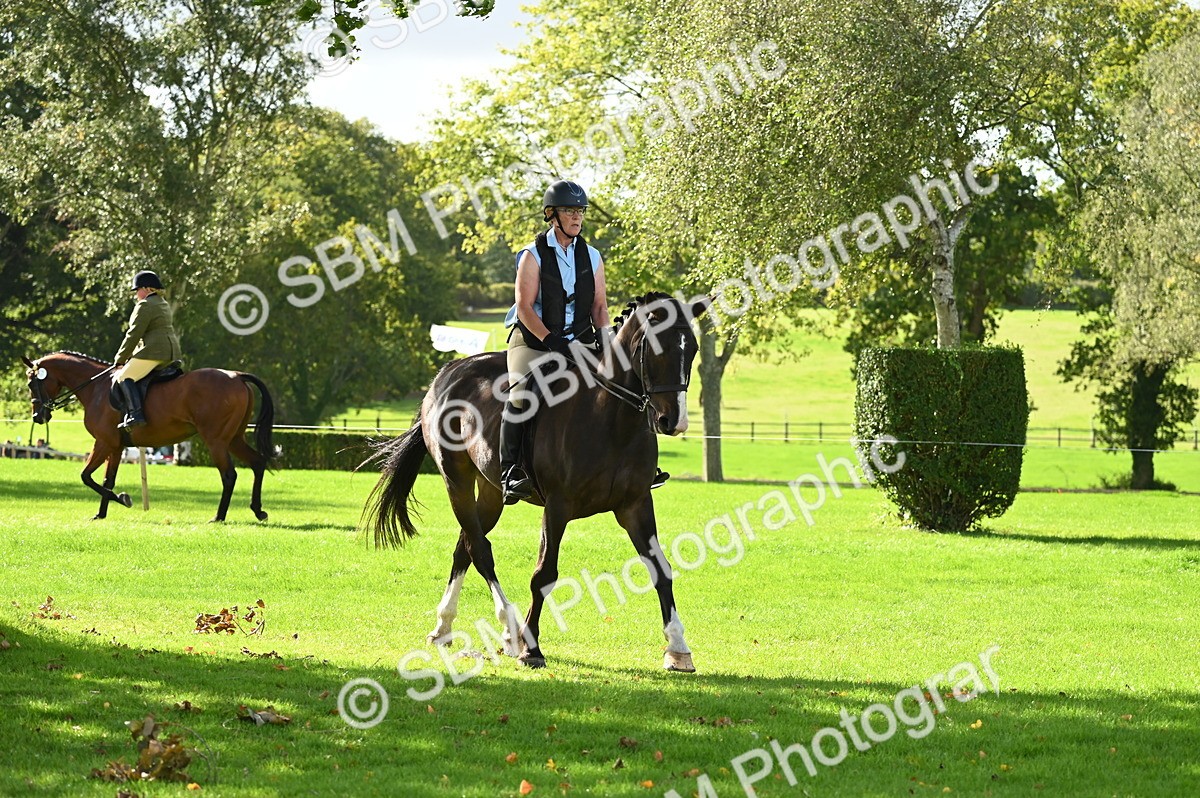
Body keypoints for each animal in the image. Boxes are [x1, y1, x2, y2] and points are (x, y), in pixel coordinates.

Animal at [22, 351, 275, 522]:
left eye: (32, 383)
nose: (38, 416)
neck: (96, 388)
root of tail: (236, 376)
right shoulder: (116, 446)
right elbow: (106, 480)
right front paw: (101, 514)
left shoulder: (103, 442)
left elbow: (86, 476)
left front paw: (123, 499)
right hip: (233, 439)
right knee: (257, 463)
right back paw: (258, 510)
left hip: (216, 441)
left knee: (229, 475)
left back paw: (219, 517)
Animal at [362, 292, 710, 671]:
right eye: (658, 349)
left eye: (691, 349)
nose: (673, 421)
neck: (612, 420)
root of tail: (448, 373)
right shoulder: (558, 506)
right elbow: (544, 575)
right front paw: (531, 648)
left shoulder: (636, 505)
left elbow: (661, 569)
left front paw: (678, 649)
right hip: (456, 479)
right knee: (480, 549)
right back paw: (510, 630)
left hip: (491, 491)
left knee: (465, 545)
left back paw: (444, 628)